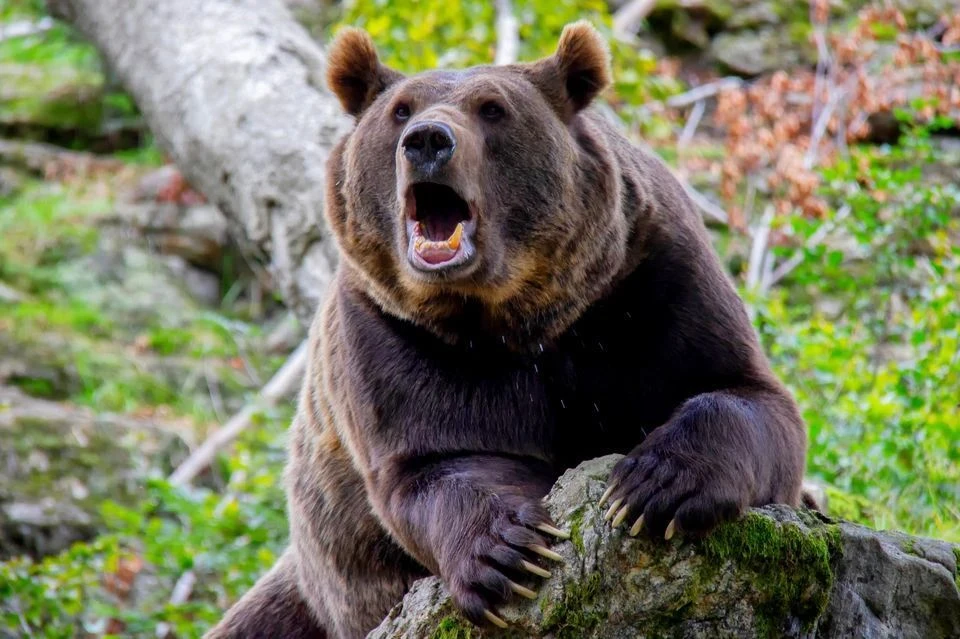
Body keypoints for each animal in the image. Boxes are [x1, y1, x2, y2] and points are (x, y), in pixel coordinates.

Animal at [207, 21, 807, 639]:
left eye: (492, 109)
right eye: (400, 110)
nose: (427, 141)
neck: (518, 312)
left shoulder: (645, 285)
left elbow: (744, 392)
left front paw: (653, 485)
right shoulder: (393, 334)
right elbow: (437, 460)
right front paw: (508, 552)